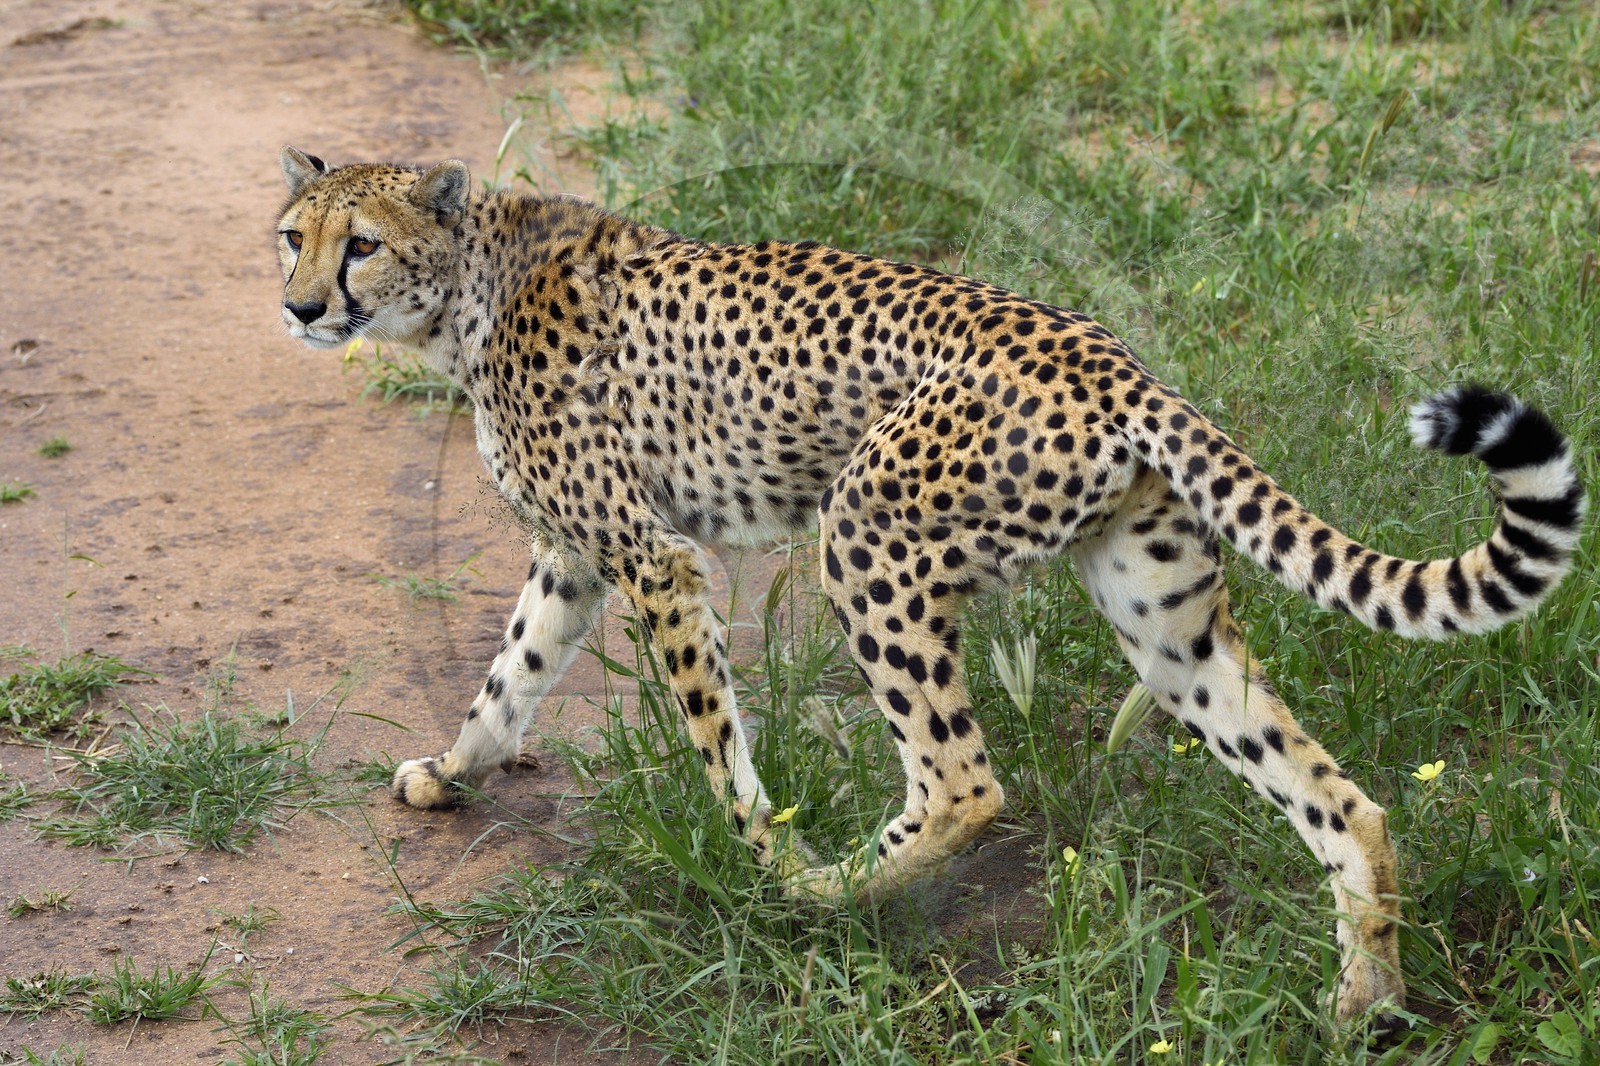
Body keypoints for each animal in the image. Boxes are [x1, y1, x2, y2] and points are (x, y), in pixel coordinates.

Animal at [275, 146, 1585, 1035]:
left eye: (361, 244)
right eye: (292, 235)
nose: (299, 306)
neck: (468, 286)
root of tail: (1109, 354)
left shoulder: (652, 556)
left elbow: (709, 735)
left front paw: (753, 857)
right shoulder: (577, 554)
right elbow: (508, 673)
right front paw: (450, 772)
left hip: (863, 531)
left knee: (962, 778)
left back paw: (824, 890)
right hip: (1161, 618)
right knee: (1339, 797)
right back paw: (1367, 996)